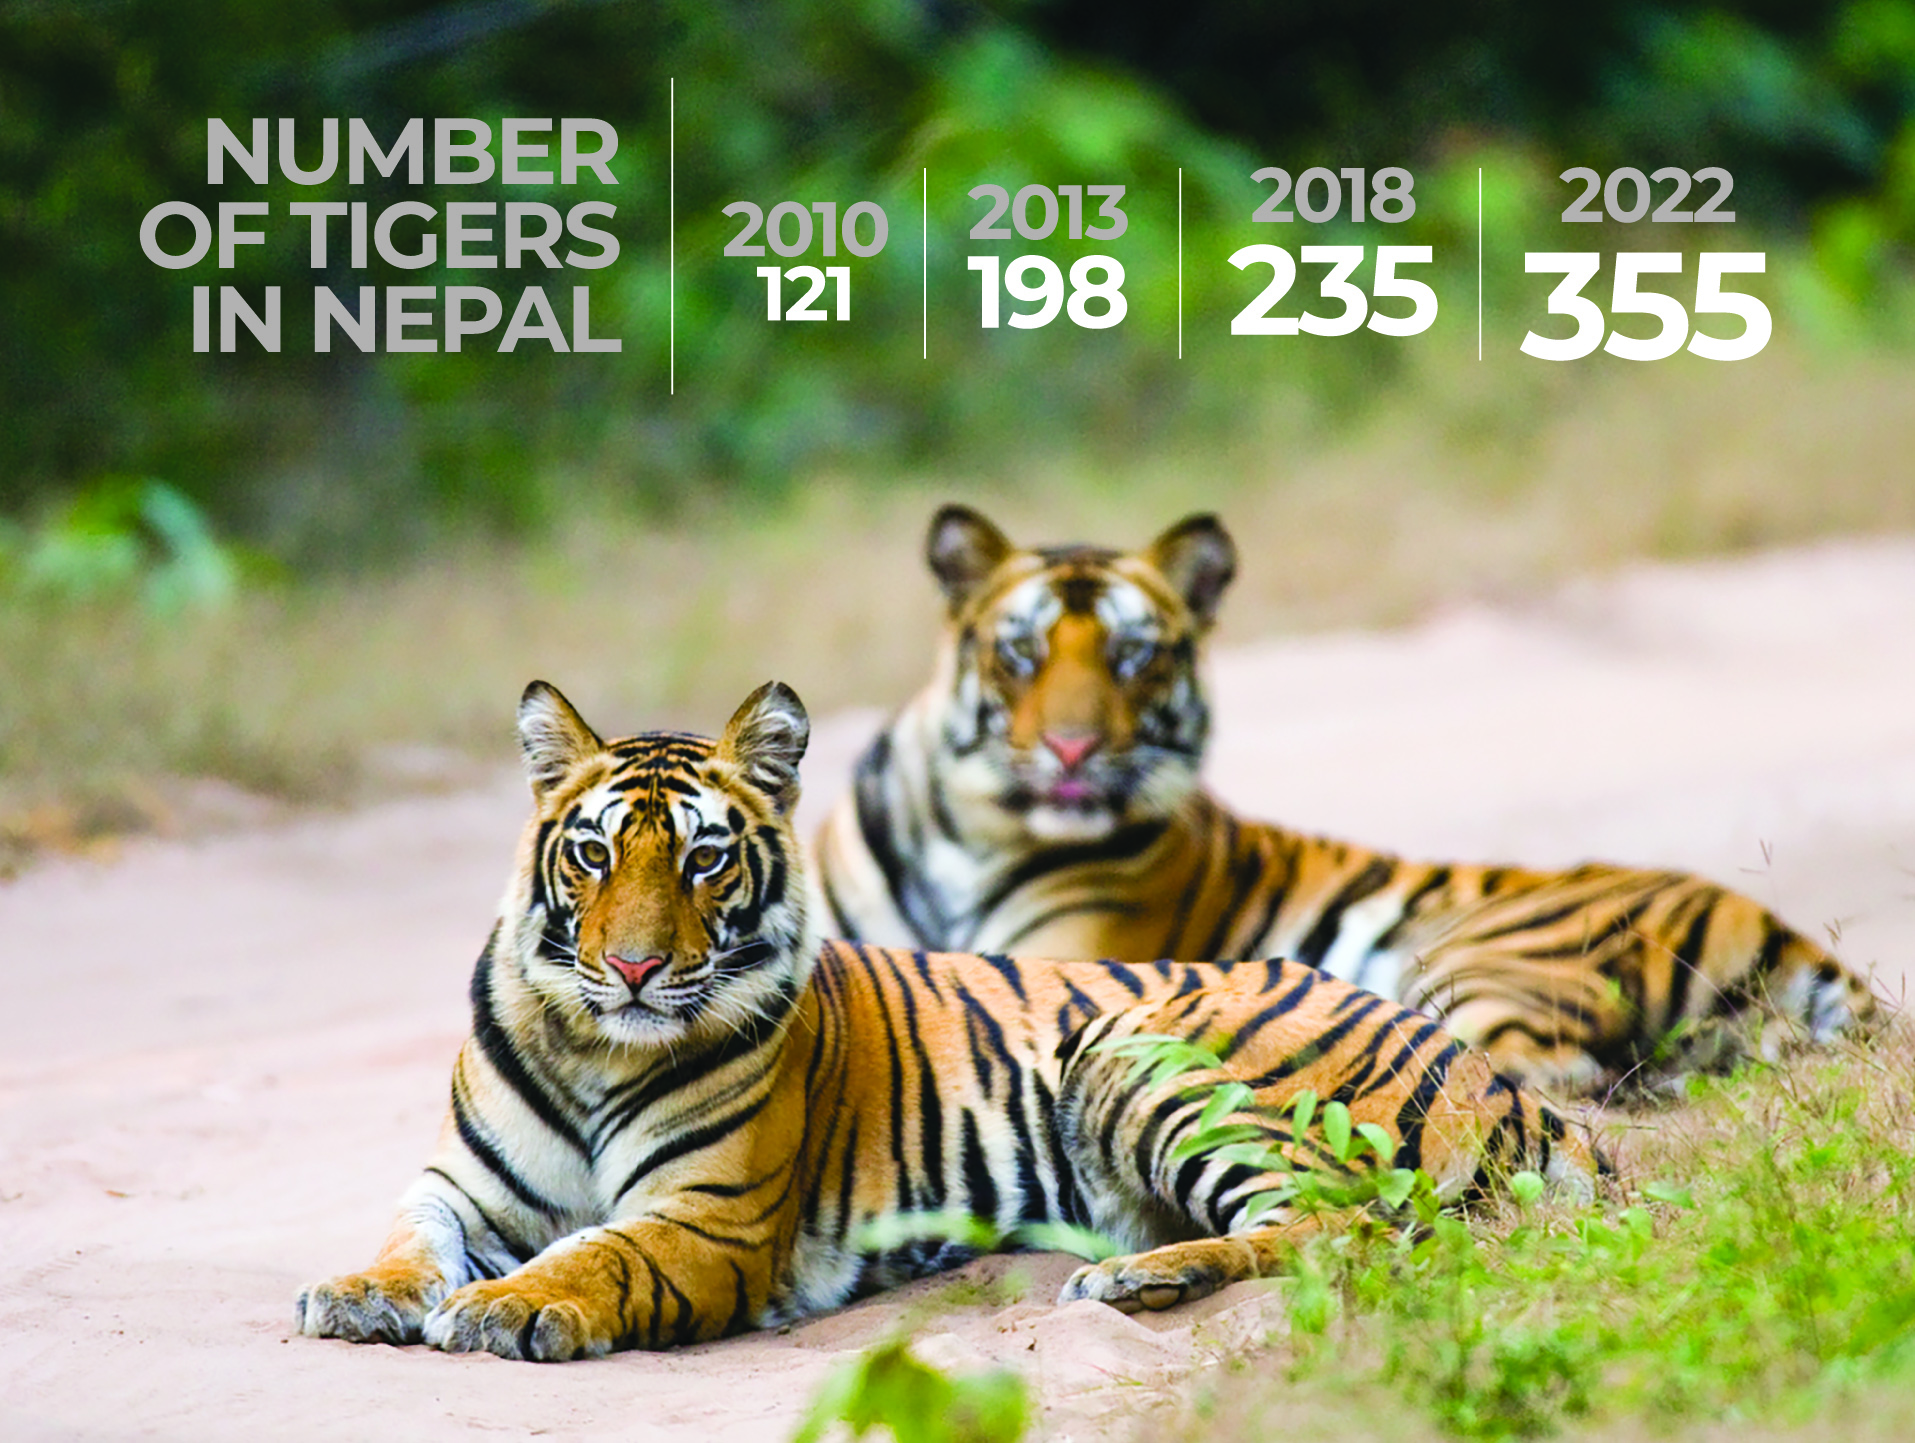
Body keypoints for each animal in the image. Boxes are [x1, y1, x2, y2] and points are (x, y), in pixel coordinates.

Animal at [295, 679, 1597, 1360]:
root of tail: (1504, 1083)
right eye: (594, 853)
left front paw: (508, 1307)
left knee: (1349, 1230)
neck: (591, 1048)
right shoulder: (461, 1188)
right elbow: (411, 1240)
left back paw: (1133, 1282)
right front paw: (356, 1293)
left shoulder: (706, 1221)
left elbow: (594, 1253)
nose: (629, 967)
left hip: (1139, 1056)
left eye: (706, 859)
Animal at [812, 505, 1882, 1098]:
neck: (966, 832)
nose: (1071, 745)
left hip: (1479, 960)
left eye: (1132, 655)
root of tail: (1780, 926)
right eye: (1022, 651)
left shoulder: (1059, 962)